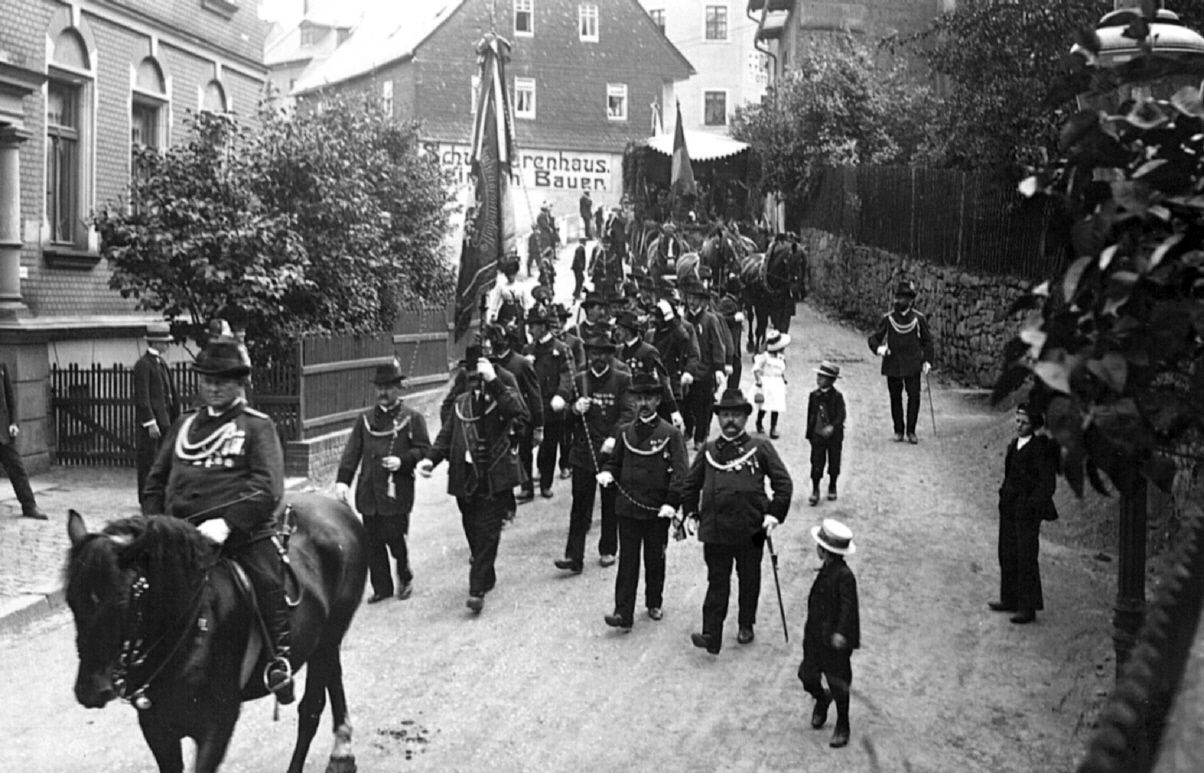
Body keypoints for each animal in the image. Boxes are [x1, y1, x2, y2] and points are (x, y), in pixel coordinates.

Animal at [65, 493, 369, 773]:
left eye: (121, 600)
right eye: (71, 600)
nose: (90, 691)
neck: (190, 634)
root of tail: (338, 507)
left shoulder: (217, 726)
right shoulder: (156, 728)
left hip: (327, 639)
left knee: (311, 710)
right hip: (326, 641)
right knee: (334, 678)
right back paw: (342, 751)